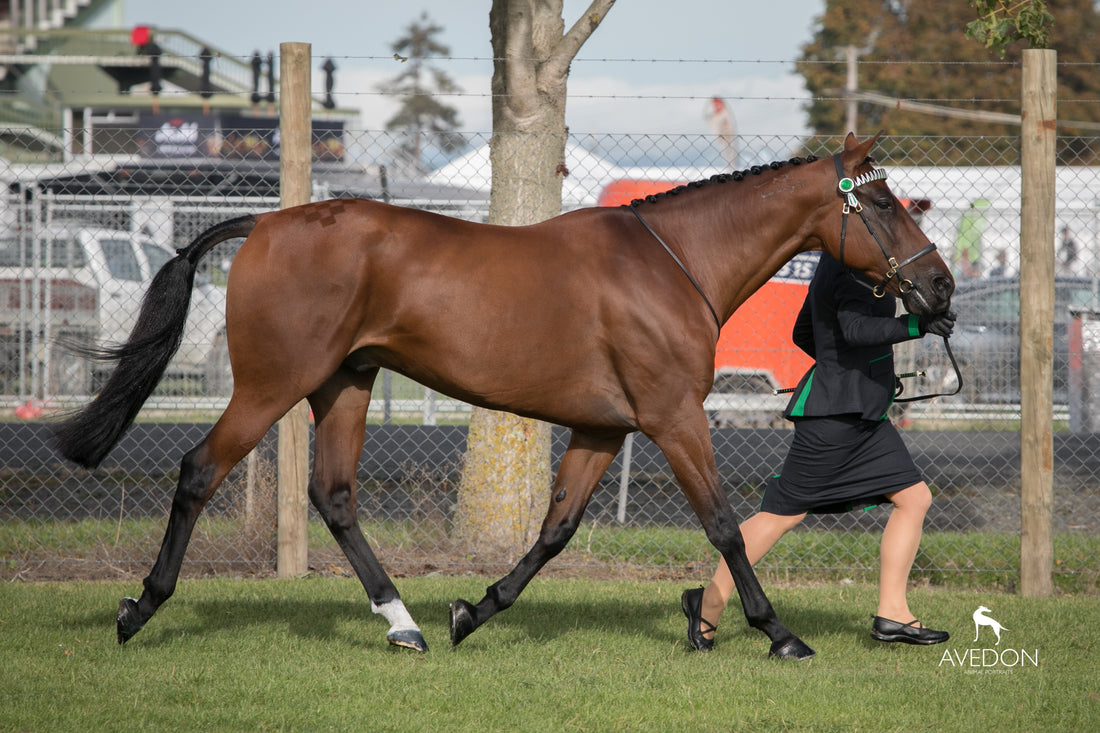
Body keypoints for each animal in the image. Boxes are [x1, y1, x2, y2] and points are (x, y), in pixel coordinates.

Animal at [51, 131, 954, 655]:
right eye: (881, 201)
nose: (941, 287)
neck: (670, 263)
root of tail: (266, 223)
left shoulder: (603, 429)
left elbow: (554, 531)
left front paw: (471, 611)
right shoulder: (672, 417)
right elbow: (727, 523)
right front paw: (779, 631)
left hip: (345, 383)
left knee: (334, 495)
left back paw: (406, 623)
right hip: (275, 381)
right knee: (200, 470)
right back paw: (138, 610)